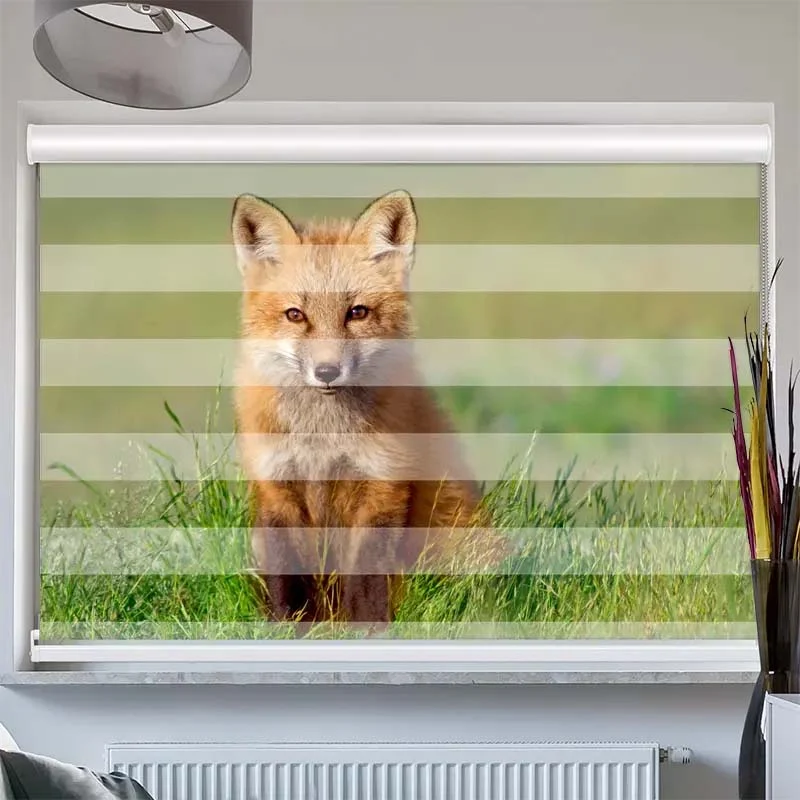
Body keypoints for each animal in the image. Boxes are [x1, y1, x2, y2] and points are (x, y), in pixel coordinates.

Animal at [231, 189, 505, 626]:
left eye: (356, 312)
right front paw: (287, 628)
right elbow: (286, 581)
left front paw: (370, 629)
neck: (323, 439)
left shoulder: (382, 487)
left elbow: (367, 579)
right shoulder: (276, 488)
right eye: (295, 315)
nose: (327, 371)